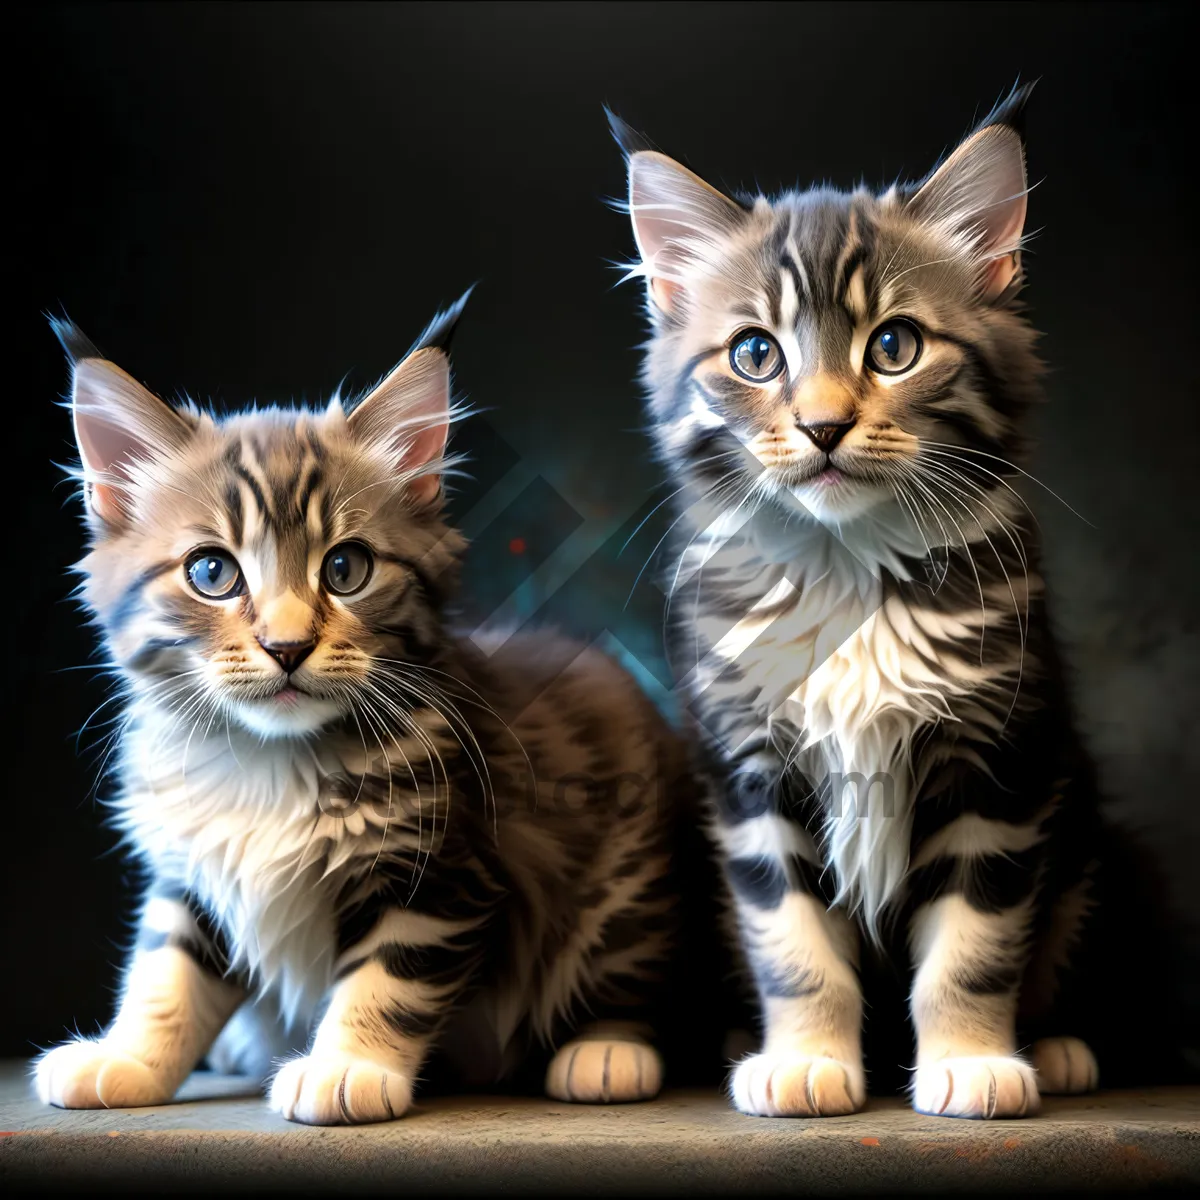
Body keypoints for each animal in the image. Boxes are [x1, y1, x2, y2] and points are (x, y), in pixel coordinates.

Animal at [35, 300, 686, 1123]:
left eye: (345, 568)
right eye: (212, 572)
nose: (286, 646)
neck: (268, 762)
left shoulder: (438, 871)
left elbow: (386, 978)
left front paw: (346, 1067)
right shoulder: (190, 874)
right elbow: (165, 974)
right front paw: (127, 1057)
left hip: (626, 877)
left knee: (626, 964)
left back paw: (606, 1051)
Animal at [619, 88, 1104, 1118]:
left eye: (894, 346)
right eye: (755, 354)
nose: (823, 425)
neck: (848, 574)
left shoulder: (1000, 764)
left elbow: (973, 947)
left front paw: (972, 1062)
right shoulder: (751, 779)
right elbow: (793, 946)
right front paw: (805, 1058)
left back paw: (1061, 1046)